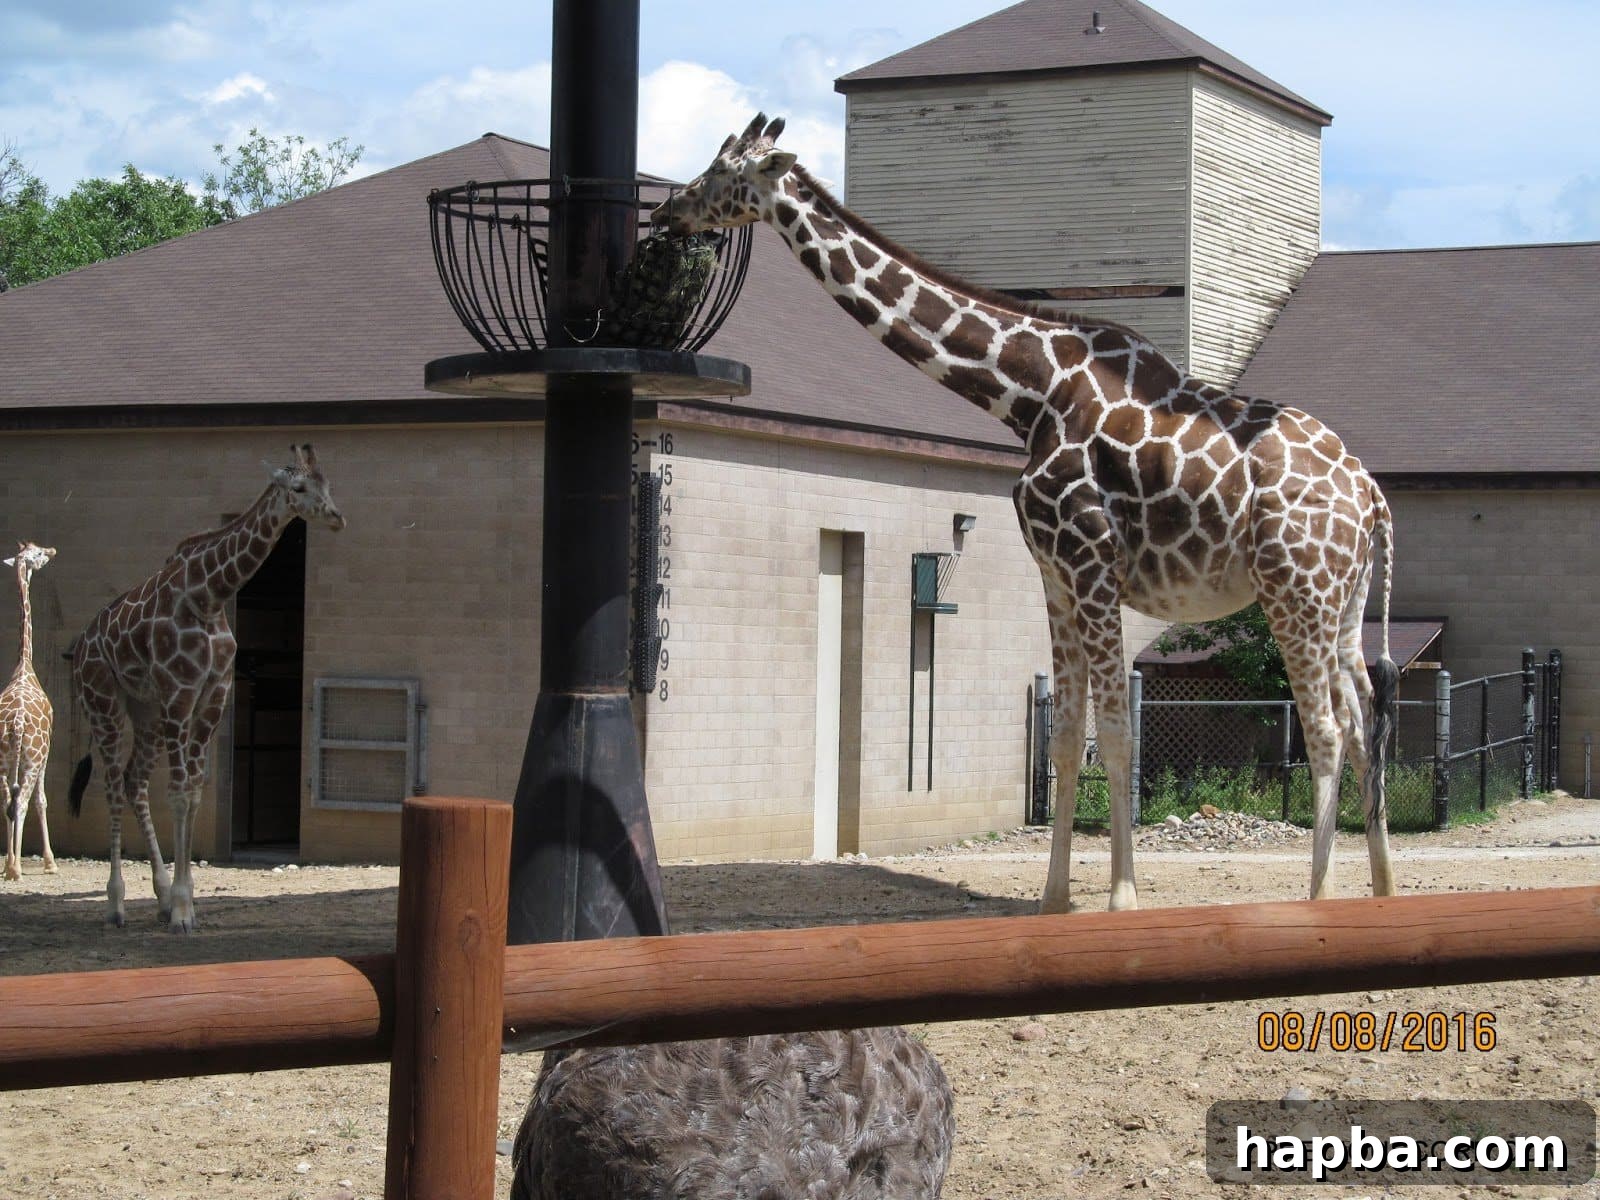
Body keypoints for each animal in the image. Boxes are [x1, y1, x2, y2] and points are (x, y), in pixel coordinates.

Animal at [67, 444, 344, 932]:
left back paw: (157, 897)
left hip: (145, 710)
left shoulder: (214, 695)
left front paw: (182, 902)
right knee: (114, 785)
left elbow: (195, 791)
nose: (335, 516)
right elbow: (180, 792)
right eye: (297, 488)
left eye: (327, 483)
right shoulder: (180, 692)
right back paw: (116, 905)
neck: (209, 595)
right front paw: (182, 911)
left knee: (134, 780)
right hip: (104, 703)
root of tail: (79, 648)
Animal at [654, 115, 1397, 913]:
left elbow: (1117, 730)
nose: (669, 212)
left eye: (722, 172)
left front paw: (1122, 897)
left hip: (1297, 592)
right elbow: (1066, 734)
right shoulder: (1055, 577)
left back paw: (1319, 899)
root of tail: (1372, 496)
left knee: (1326, 729)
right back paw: (1384, 891)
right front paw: (1053, 898)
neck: (1027, 393)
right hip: (1344, 602)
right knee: (1364, 722)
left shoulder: (1093, 564)